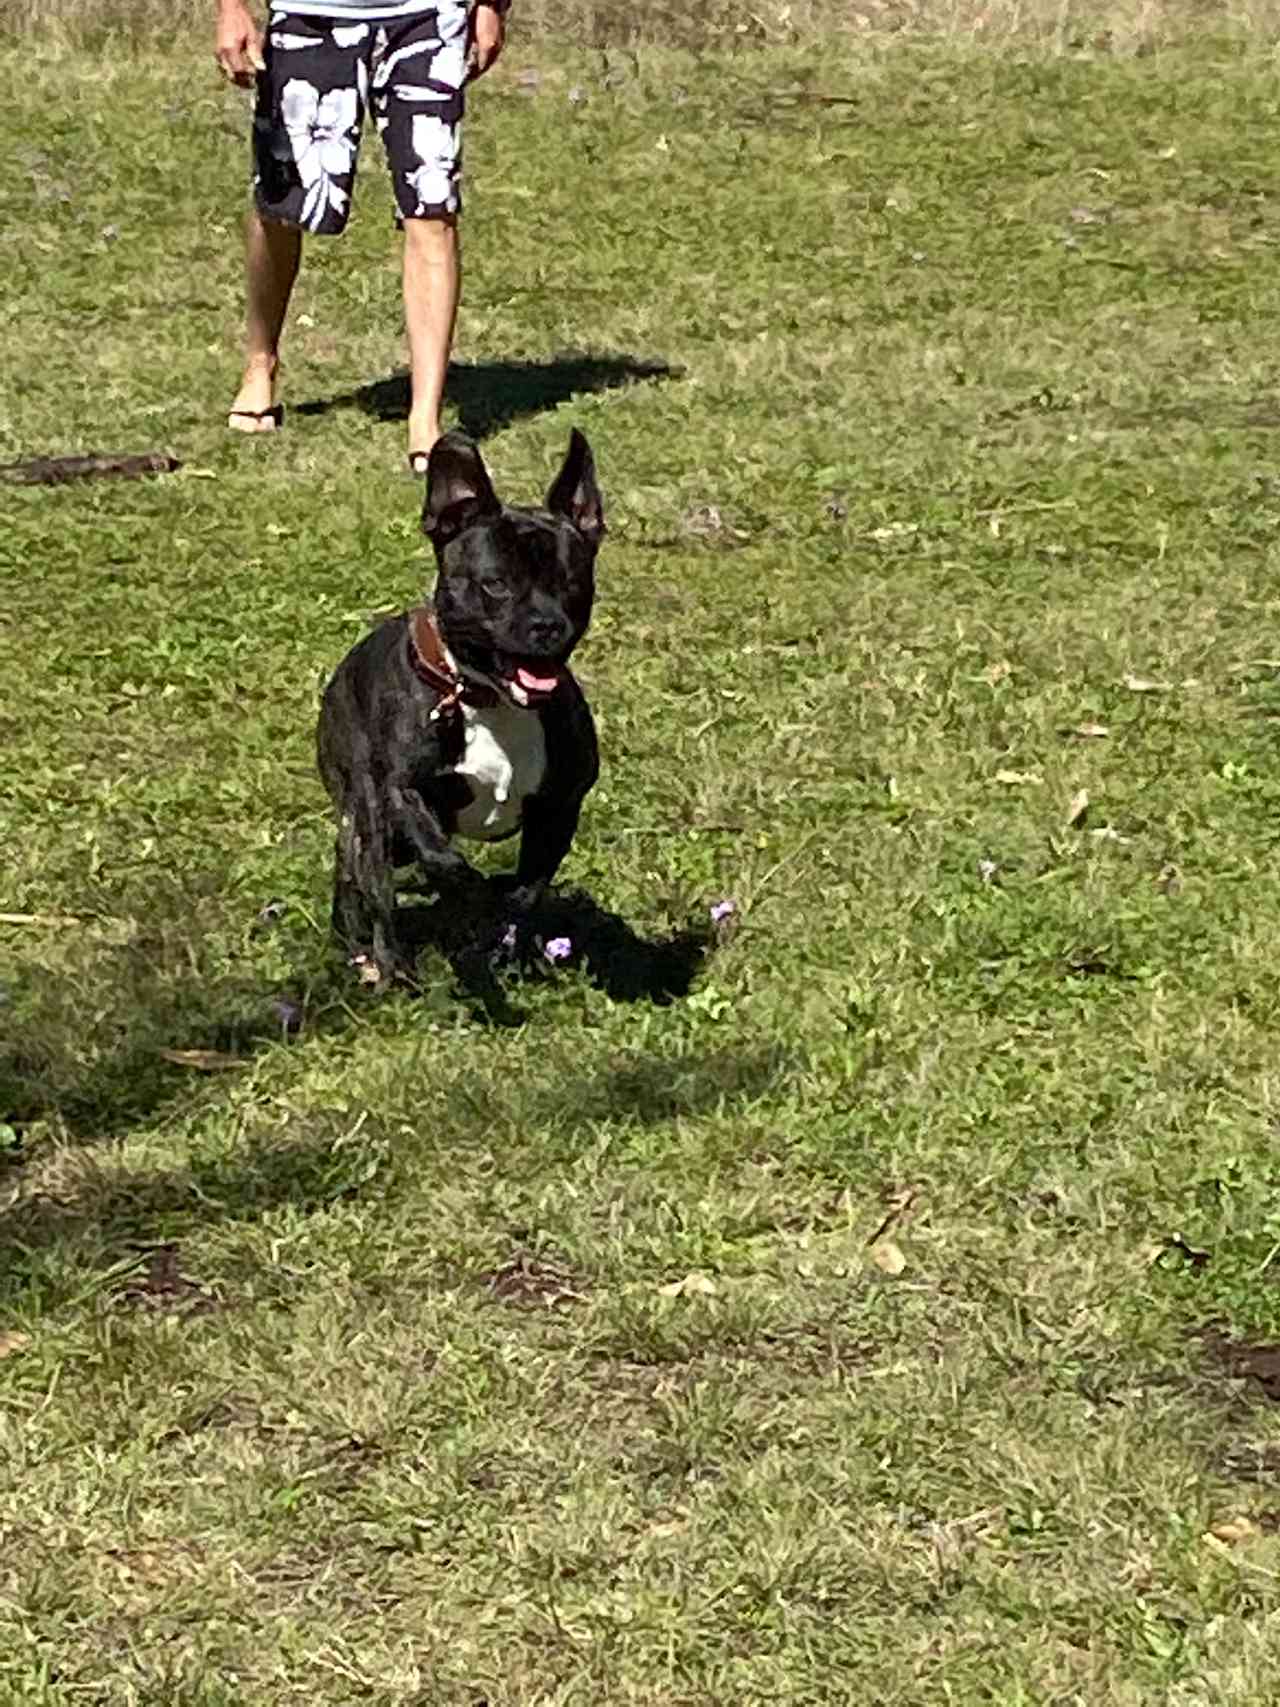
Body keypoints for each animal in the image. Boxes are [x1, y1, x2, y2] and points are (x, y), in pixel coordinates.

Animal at [315, 426, 607, 990]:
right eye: (495, 584)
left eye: (573, 585)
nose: (547, 623)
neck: (487, 696)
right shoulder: (401, 791)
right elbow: (442, 860)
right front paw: (471, 899)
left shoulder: (560, 807)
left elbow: (527, 890)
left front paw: (500, 936)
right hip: (363, 807)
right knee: (368, 880)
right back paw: (379, 958)